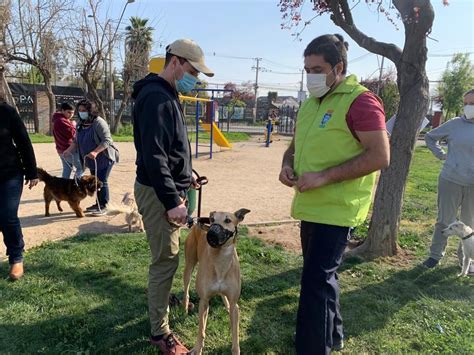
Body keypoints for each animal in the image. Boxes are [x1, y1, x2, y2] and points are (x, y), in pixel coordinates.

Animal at [184, 209, 252, 355]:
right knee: (186, 290)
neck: (220, 262)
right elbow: (201, 330)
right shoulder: (204, 301)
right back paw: (185, 307)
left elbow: (235, 333)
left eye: (228, 220)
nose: (211, 233)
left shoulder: (235, 304)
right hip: (189, 266)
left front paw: (236, 350)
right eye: (212, 219)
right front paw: (197, 348)